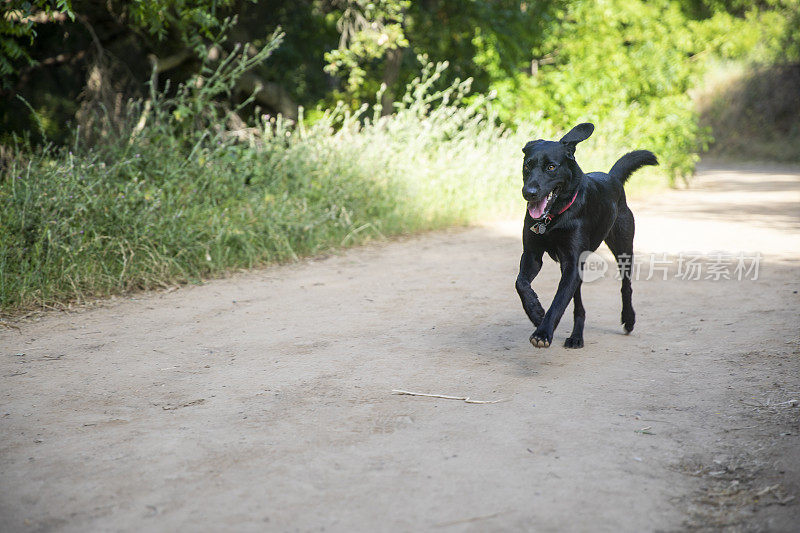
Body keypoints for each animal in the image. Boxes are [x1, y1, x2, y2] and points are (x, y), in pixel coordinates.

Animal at [516, 124, 660, 350]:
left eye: (551, 167)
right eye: (527, 166)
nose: (528, 192)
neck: (553, 218)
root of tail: (613, 178)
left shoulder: (572, 263)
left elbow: (558, 301)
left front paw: (543, 332)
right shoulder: (532, 255)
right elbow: (521, 284)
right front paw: (536, 311)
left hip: (623, 248)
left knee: (625, 286)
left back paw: (628, 319)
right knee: (579, 306)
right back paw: (577, 336)